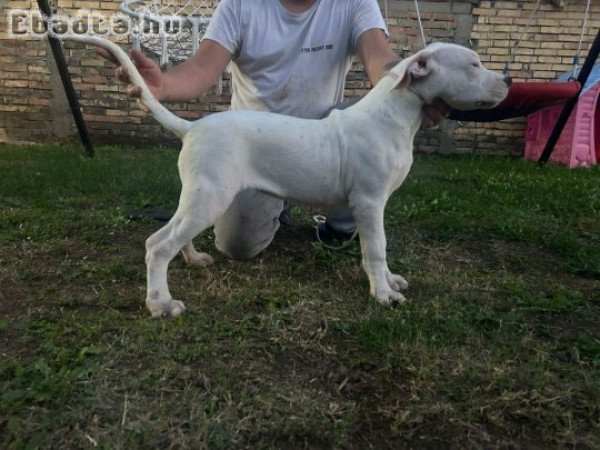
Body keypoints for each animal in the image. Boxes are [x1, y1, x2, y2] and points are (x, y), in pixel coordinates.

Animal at [64, 37, 506, 316]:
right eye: (473, 65)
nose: (508, 80)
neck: (395, 114)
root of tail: (192, 128)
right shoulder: (370, 202)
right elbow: (376, 248)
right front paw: (382, 294)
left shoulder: (370, 205)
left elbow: (379, 249)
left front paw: (390, 281)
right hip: (211, 196)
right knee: (157, 245)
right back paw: (161, 304)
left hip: (200, 195)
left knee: (173, 235)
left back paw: (193, 260)